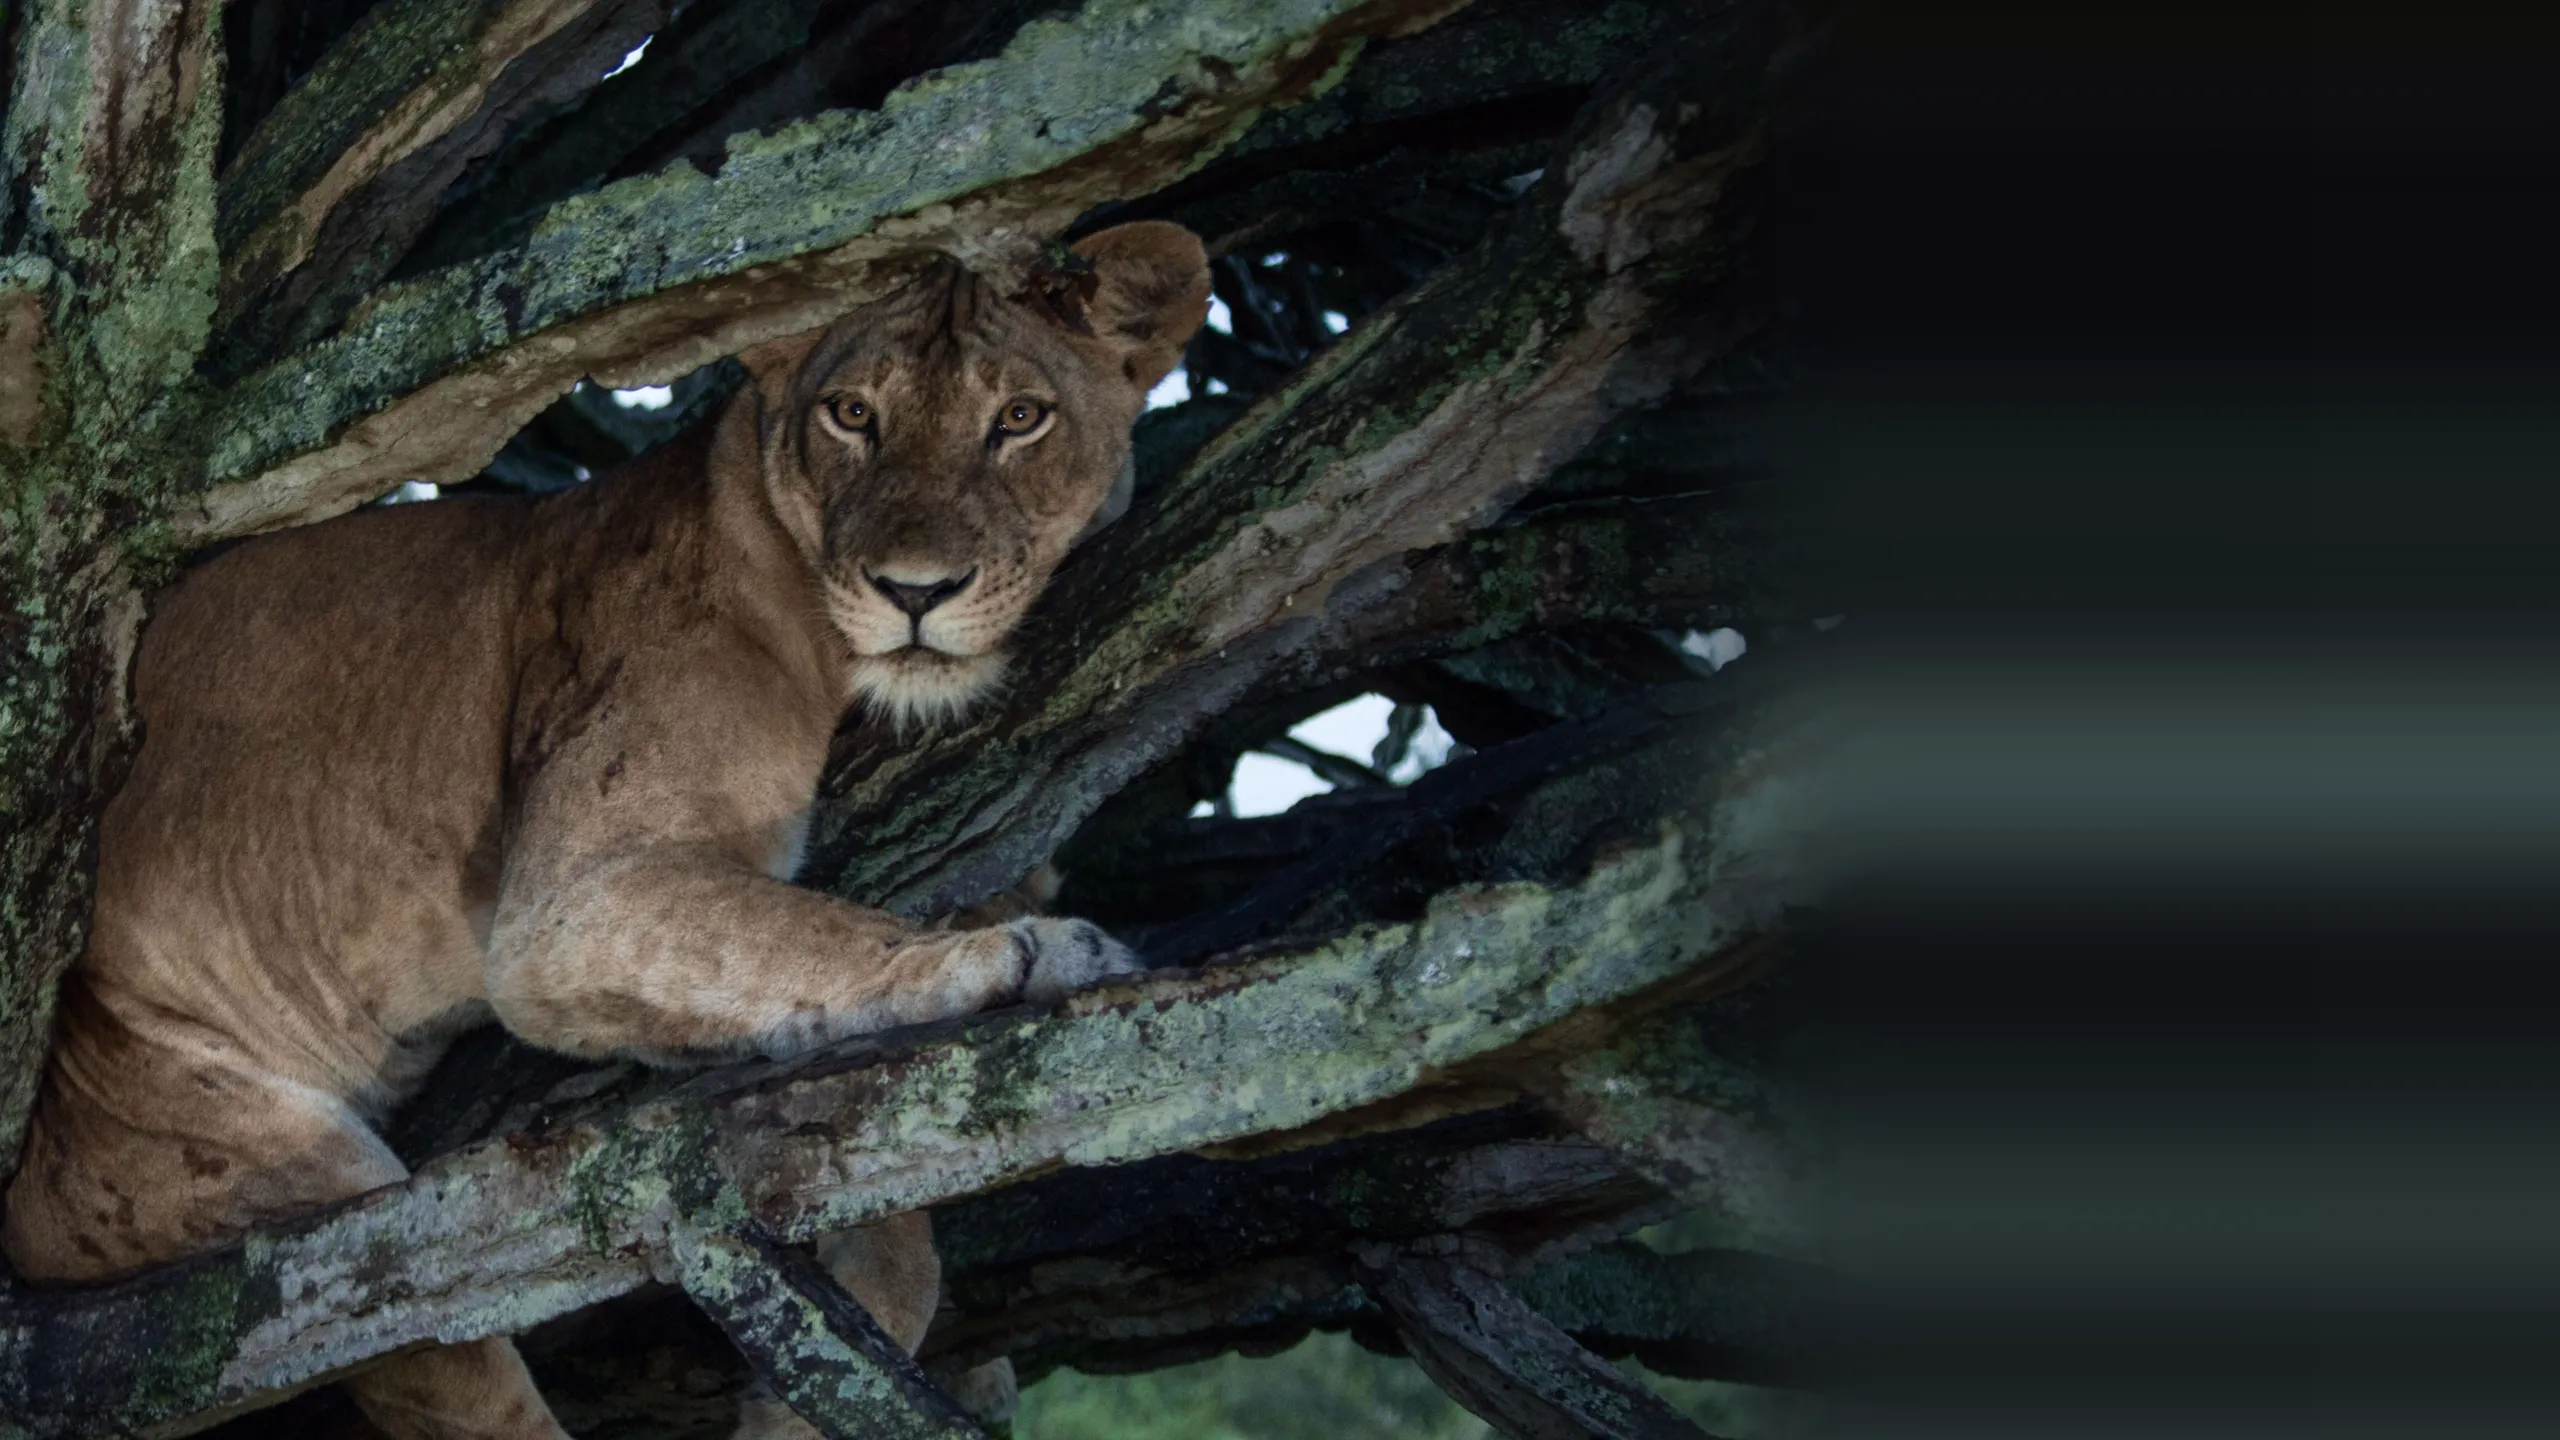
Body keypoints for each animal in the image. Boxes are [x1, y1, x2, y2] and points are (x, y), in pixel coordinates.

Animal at [1, 221, 1211, 1440]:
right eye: (852, 414)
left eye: (1021, 418)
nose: (915, 591)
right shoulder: (572, 907)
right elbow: (814, 929)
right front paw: (1027, 956)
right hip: (294, 1209)